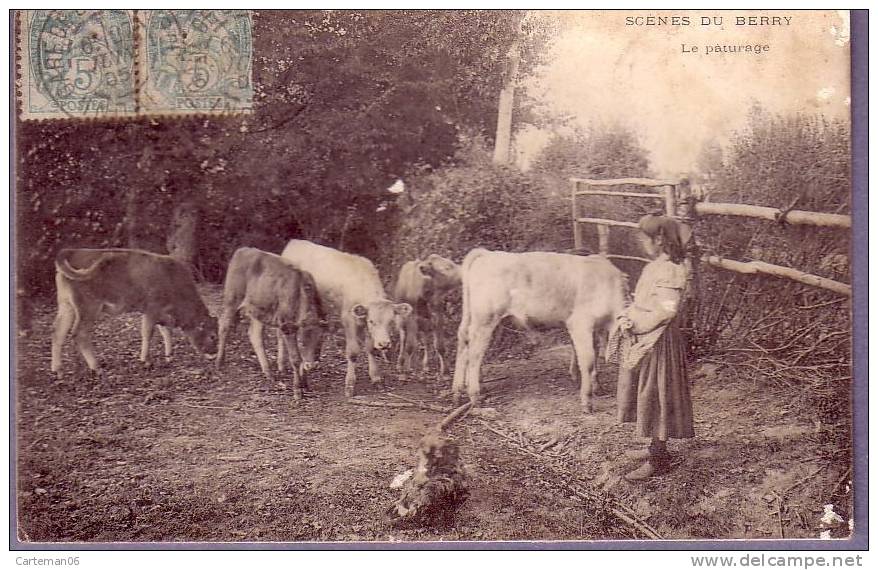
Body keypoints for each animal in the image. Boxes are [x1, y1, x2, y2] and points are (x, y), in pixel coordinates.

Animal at [50, 246, 218, 374]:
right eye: (212, 336)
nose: (214, 354)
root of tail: (73, 251)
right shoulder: (151, 310)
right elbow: (148, 333)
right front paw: (146, 361)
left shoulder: (162, 314)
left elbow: (166, 332)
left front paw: (169, 355)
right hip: (88, 309)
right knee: (80, 334)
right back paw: (96, 367)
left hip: (66, 306)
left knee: (58, 332)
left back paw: (57, 369)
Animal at [215, 245, 324, 400]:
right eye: (302, 342)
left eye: (320, 342)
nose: (311, 365)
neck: (300, 293)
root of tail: (242, 250)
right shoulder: (288, 328)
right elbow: (296, 359)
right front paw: (297, 390)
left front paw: (305, 384)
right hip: (232, 301)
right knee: (224, 326)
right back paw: (219, 362)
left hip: (258, 310)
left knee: (255, 335)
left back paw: (269, 373)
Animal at [286, 237, 416, 398]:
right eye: (372, 321)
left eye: (391, 321)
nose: (384, 344)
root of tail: (295, 242)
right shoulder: (349, 320)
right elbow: (353, 352)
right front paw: (350, 385)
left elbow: (371, 349)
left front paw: (376, 378)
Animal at [450, 248, 628, 412]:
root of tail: (488, 253)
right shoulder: (580, 323)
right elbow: (589, 361)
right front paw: (587, 401)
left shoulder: (596, 328)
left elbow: (595, 356)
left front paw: (597, 387)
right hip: (485, 318)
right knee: (474, 354)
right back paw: (475, 396)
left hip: (473, 318)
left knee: (464, 342)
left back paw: (458, 392)